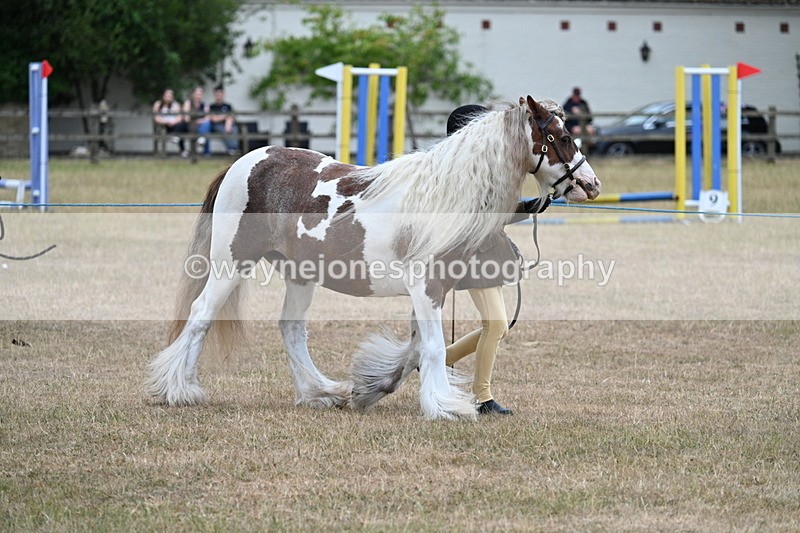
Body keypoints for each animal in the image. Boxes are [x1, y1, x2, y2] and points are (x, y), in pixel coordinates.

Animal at [147, 96, 601, 420]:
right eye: (561, 137)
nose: (591, 184)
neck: (442, 197)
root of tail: (242, 163)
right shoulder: (426, 288)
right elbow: (434, 348)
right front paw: (445, 406)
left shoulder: (432, 291)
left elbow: (419, 348)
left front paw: (372, 387)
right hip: (230, 263)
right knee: (201, 315)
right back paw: (180, 390)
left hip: (299, 274)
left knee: (290, 329)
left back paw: (322, 392)